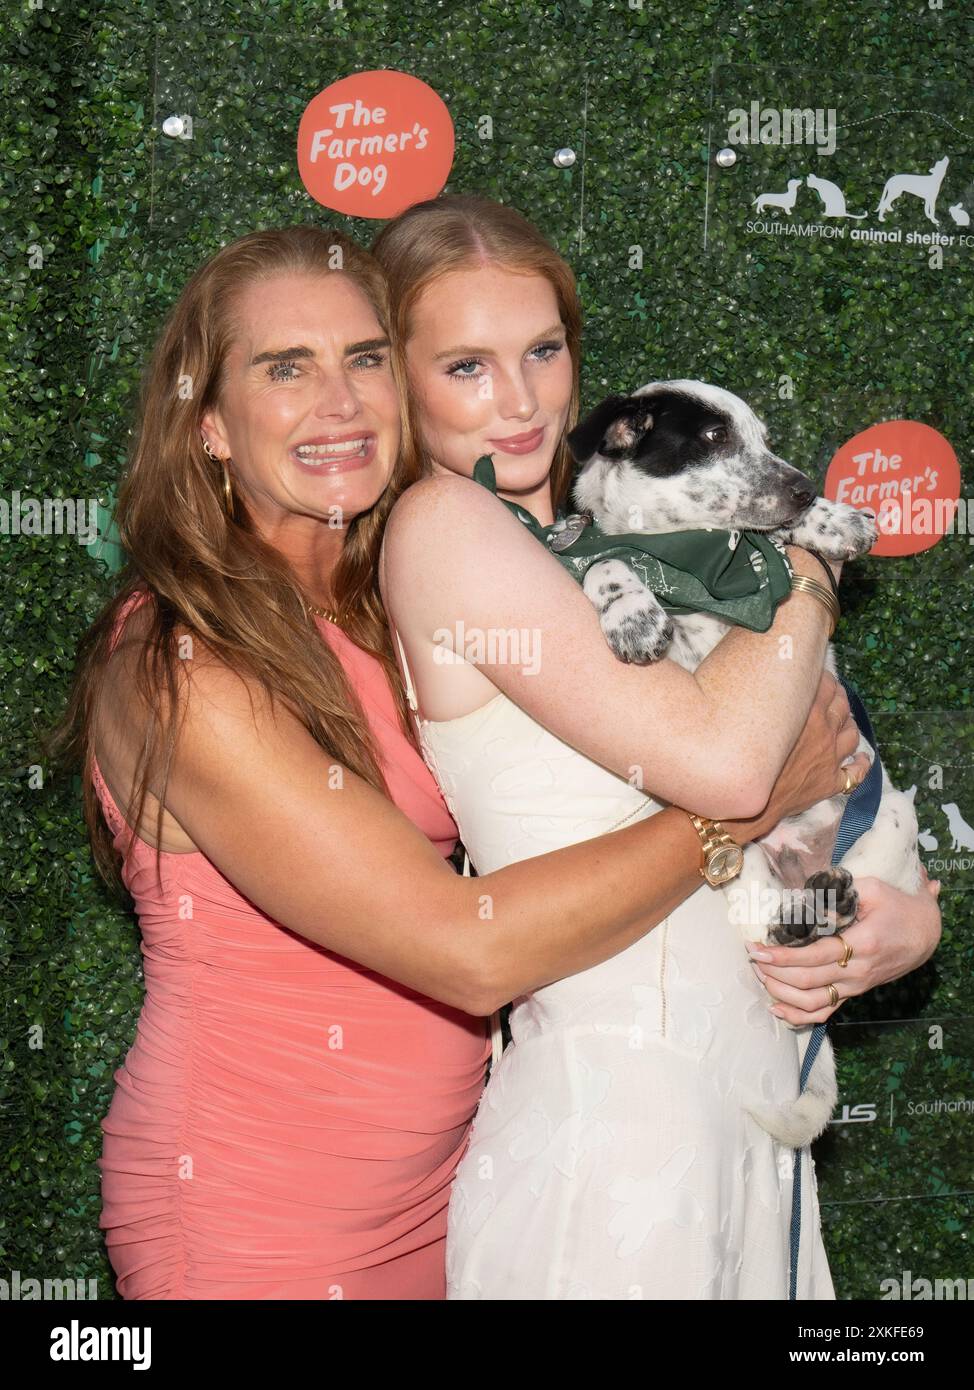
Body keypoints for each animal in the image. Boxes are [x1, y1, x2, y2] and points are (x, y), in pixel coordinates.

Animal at [561, 380, 917, 1139]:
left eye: (763, 438)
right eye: (713, 438)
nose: (803, 483)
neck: (688, 558)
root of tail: (802, 861)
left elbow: (773, 539)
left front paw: (833, 520)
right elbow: (606, 560)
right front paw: (633, 615)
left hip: (887, 824)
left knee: (850, 906)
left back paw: (829, 902)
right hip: (736, 870)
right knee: (769, 930)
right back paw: (808, 911)